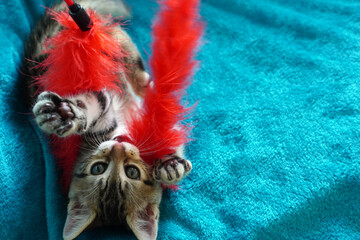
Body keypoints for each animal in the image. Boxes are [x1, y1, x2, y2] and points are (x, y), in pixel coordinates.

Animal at [23, 0, 193, 239]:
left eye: (132, 172)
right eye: (98, 169)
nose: (118, 146)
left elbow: (168, 132)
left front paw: (171, 165)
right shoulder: (104, 116)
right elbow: (94, 104)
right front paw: (64, 115)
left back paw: (143, 81)